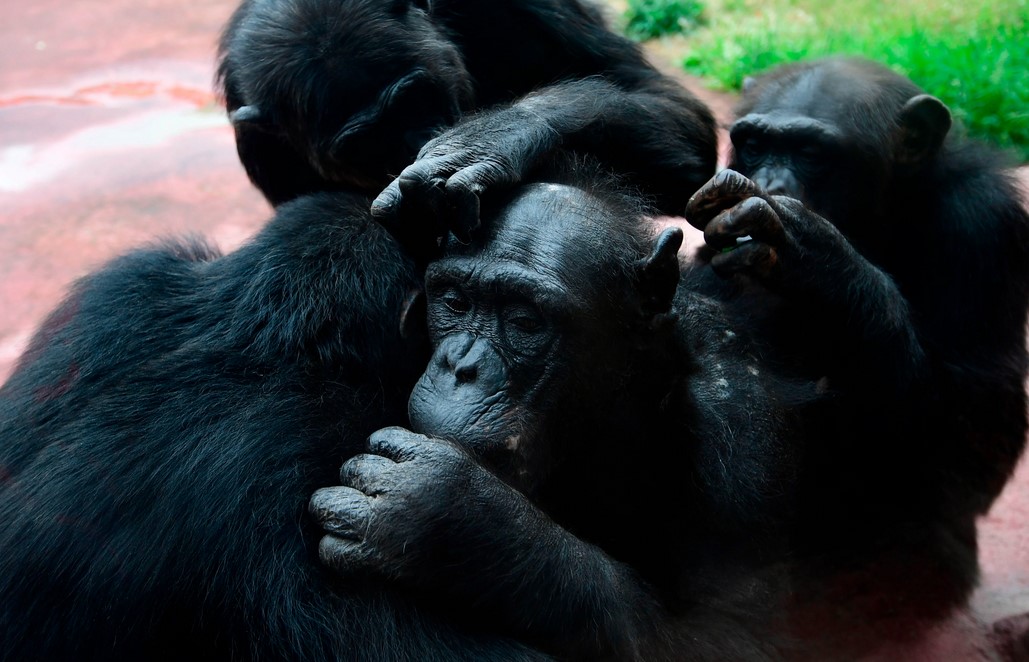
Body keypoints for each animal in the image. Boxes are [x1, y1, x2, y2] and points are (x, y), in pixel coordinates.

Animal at [217, 0, 716, 212]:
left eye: (413, 98)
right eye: (362, 144)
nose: (416, 142)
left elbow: (657, 96)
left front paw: (493, 137)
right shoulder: (258, 145)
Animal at [308, 171, 806, 662]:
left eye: (525, 321)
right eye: (455, 302)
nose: (461, 367)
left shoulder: (739, 429)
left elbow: (737, 632)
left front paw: (453, 517)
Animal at [687, 58, 1029, 609]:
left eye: (811, 152)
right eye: (754, 143)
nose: (769, 180)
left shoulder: (986, 225)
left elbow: (978, 432)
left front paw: (814, 253)